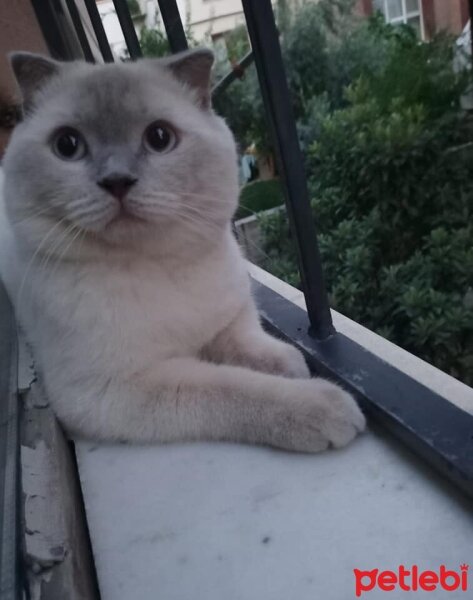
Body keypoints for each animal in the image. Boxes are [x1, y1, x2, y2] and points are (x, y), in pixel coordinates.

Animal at [0, 50, 366, 450]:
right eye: (67, 145)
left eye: (159, 137)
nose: (117, 181)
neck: (164, 264)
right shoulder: (112, 390)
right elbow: (237, 387)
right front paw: (325, 404)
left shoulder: (230, 314)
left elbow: (248, 342)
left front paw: (291, 364)